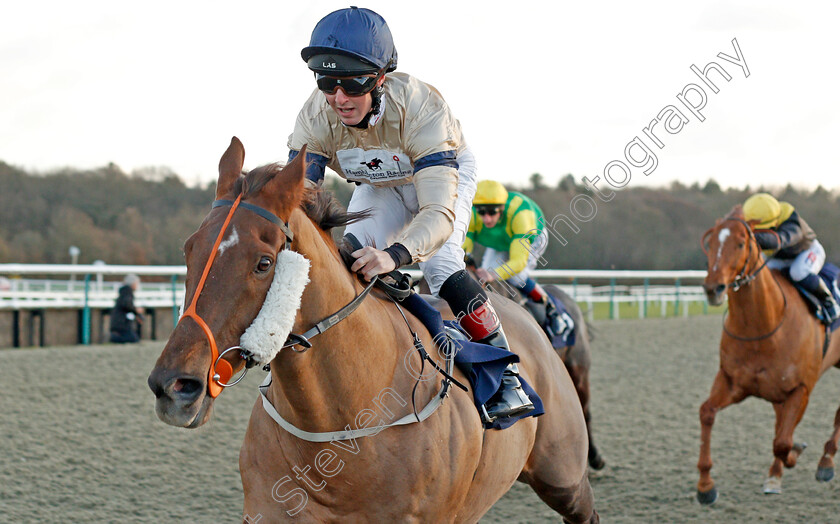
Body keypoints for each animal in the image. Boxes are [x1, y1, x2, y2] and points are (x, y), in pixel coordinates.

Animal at [696, 205, 840, 504]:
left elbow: (782, 442)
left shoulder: (801, 389)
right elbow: (707, 413)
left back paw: (826, 462)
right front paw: (705, 486)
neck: (764, 326)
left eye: (741, 243)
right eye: (711, 243)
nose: (713, 288)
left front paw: (795, 454)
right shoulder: (732, 381)